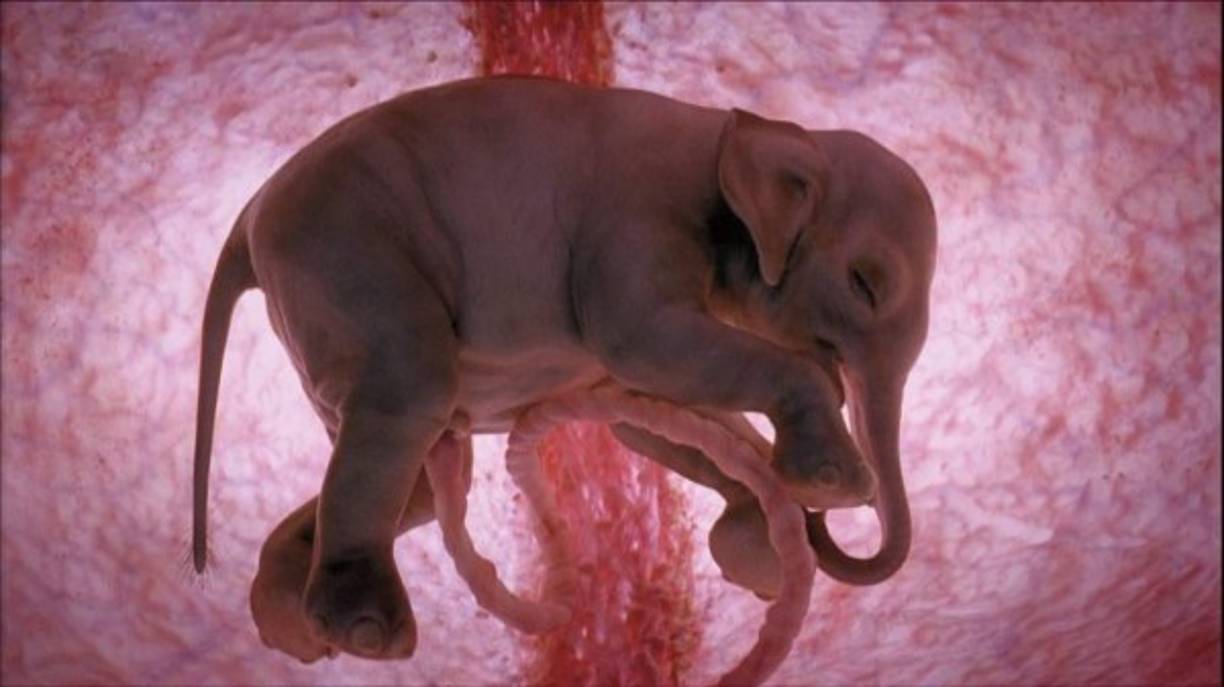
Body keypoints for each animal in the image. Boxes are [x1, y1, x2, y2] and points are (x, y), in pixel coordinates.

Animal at [191, 75, 937, 662]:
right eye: (866, 284)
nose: (843, 515)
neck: (736, 128)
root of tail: (248, 218)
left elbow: (648, 412)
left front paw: (761, 549)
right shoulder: (636, 218)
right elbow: (644, 344)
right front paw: (834, 483)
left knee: (419, 475)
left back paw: (291, 626)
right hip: (346, 255)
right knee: (411, 393)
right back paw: (369, 632)